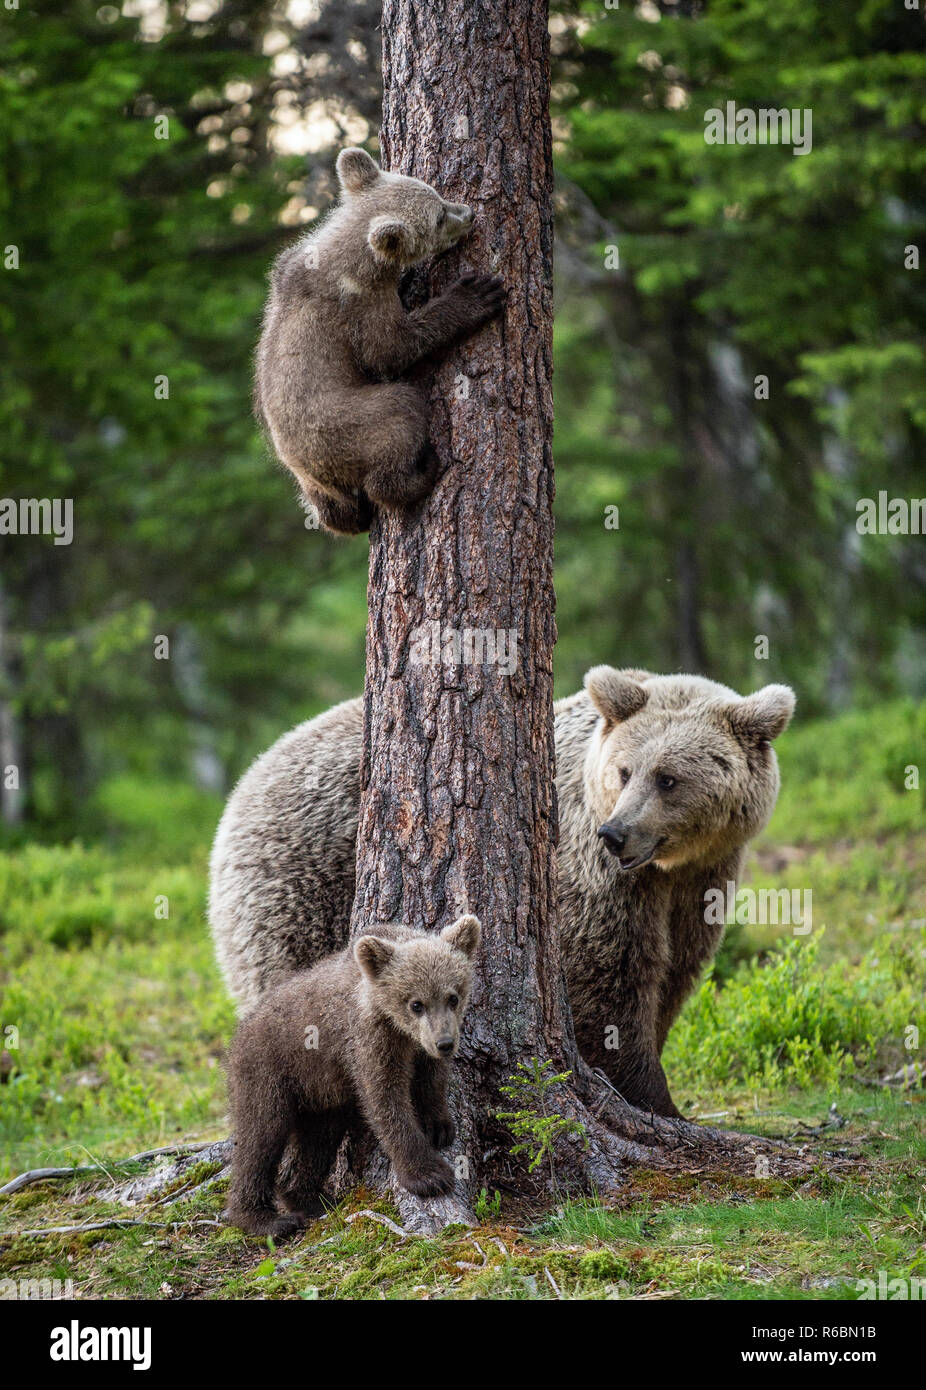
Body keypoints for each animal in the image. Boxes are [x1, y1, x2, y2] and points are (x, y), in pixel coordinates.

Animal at [209, 669, 794, 1118]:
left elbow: (676, 970)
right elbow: (612, 977)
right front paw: (652, 1096)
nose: (616, 833)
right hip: (299, 886)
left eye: (668, 778)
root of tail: (245, 784)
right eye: (625, 771)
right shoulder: (592, 872)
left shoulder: (702, 880)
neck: (670, 867)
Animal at [225, 914, 481, 1238]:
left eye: (452, 997)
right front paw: (428, 1175)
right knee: (260, 1136)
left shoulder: (418, 1047)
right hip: (267, 1070)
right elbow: (385, 1099)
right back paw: (264, 1218)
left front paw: (439, 1125)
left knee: (318, 1139)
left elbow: (431, 1079)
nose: (445, 1043)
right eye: (416, 1004)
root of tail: (239, 1034)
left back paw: (309, 1198)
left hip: (319, 1092)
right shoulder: (367, 1041)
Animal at [253, 146, 506, 536]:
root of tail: (315, 472)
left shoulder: (286, 267)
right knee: (399, 416)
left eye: (435, 193)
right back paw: (422, 471)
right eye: (437, 218)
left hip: (310, 484)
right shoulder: (360, 305)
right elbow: (390, 349)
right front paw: (475, 295)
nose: (468, 213)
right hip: (351, 425)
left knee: (335, 514)